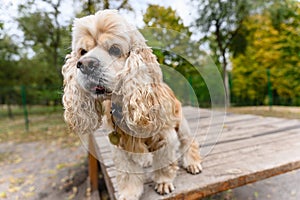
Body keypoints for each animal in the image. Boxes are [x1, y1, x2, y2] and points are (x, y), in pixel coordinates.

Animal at [62, 9, 204, 200]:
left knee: (189, 142)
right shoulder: (118, 145)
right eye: (82, 51)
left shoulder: (165, 136)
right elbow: (127, 171)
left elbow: (164, 162)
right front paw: (129, 193)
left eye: (115, 49)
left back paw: (192, 163)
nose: (84, 64)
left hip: (181, 125)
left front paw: (163, 182)